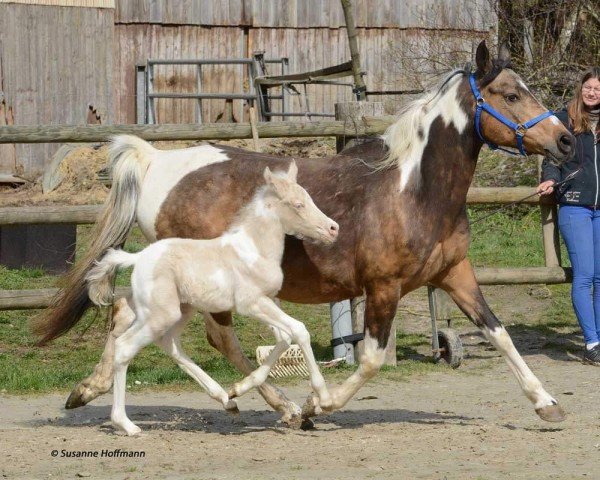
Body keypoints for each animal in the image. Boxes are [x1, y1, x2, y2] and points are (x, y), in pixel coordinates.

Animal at [85, 162, 340, 436]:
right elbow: (299, 330)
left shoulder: (268, 301)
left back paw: (227, 399)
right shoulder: (252, 303)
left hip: (180, 310)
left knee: (168, 342)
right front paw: (324, 399)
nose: (333, 229)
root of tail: (139, 257)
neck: (254, 250)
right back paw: (126, 423)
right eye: (298, 204)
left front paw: (239, 388)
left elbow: (283, 339)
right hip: (161, 314)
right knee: (125, 347)